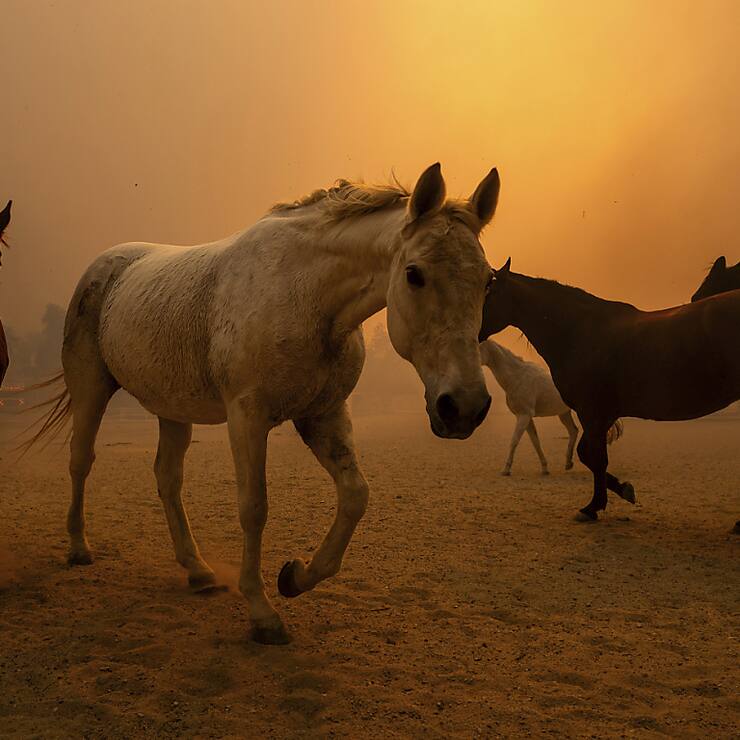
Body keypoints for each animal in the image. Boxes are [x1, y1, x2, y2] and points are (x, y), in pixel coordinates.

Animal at [30, 164, 500, 644]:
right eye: (414, 273)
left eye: (489, 280)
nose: (464, 406)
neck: (306, 295)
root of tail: (106, 265)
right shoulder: (247, 417)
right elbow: (254, 508)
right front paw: (262, 612)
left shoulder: (324, 415)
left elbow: (355, 496)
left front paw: (295, 576)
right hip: (91, 389)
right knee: (81, 460)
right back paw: (79, 548)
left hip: (173, 410)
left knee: (167, 479)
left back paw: (197, 570)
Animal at [479, 339, 623, 476]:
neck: (517, 377)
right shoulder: (527, 417)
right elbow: (535, 441)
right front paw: (545, 468)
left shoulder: (523, 416)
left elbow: (514, 441)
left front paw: (506, 470)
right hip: (564, 414)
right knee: (573, 431)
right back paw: (568, 463)